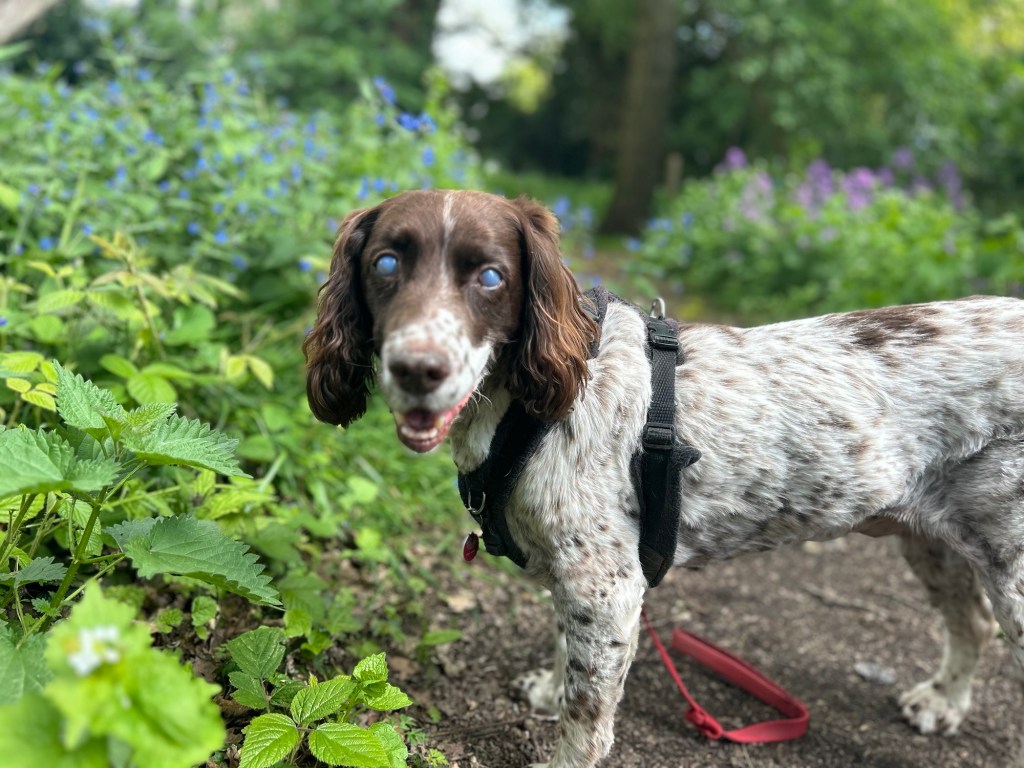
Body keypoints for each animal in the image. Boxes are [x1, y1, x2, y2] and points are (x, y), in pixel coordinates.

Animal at [304, 188, 1024, 767]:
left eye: (490, 275)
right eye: (386, 264)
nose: (417, 369)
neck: (527, 410)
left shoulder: (605, 585)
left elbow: (586, 718)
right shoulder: (582, 583)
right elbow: (567, 655)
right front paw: (548, 688)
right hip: (932, 538)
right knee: (970, 623)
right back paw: (944, 701)